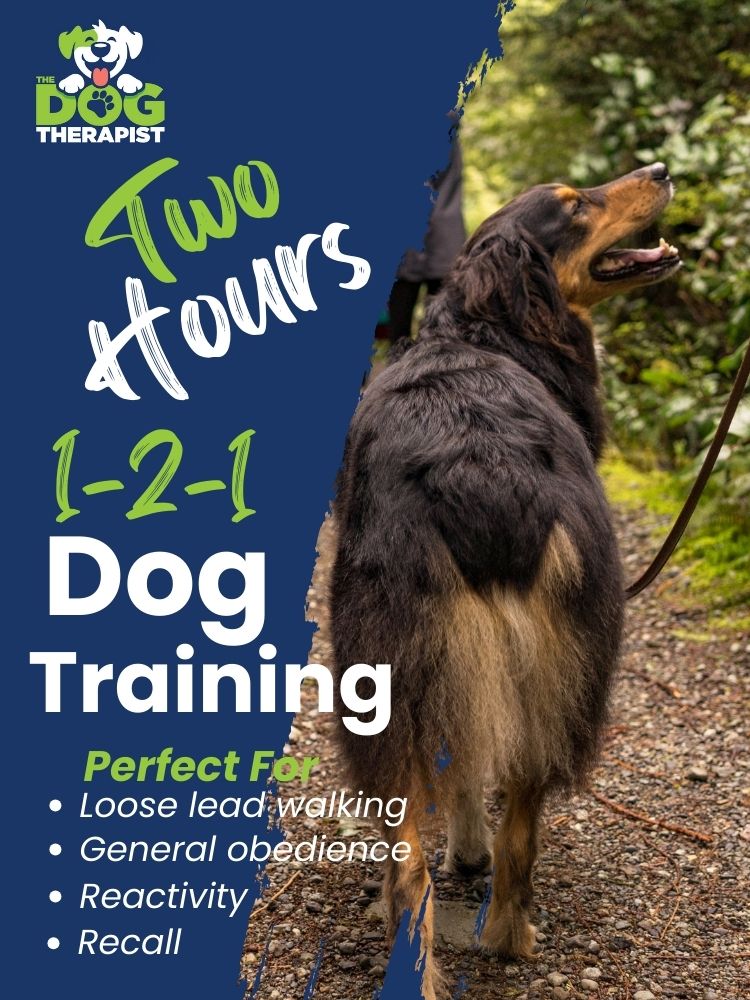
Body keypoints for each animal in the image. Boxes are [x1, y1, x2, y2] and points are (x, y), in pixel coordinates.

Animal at [330, 166, 680, 1000]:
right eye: (575, 204)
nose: (659, 171)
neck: (478, 330)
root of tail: (478, 461)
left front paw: (466, 850)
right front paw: (471, 851)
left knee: (421, 860)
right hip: (547, 665)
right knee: (511, 826)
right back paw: (508, 936)